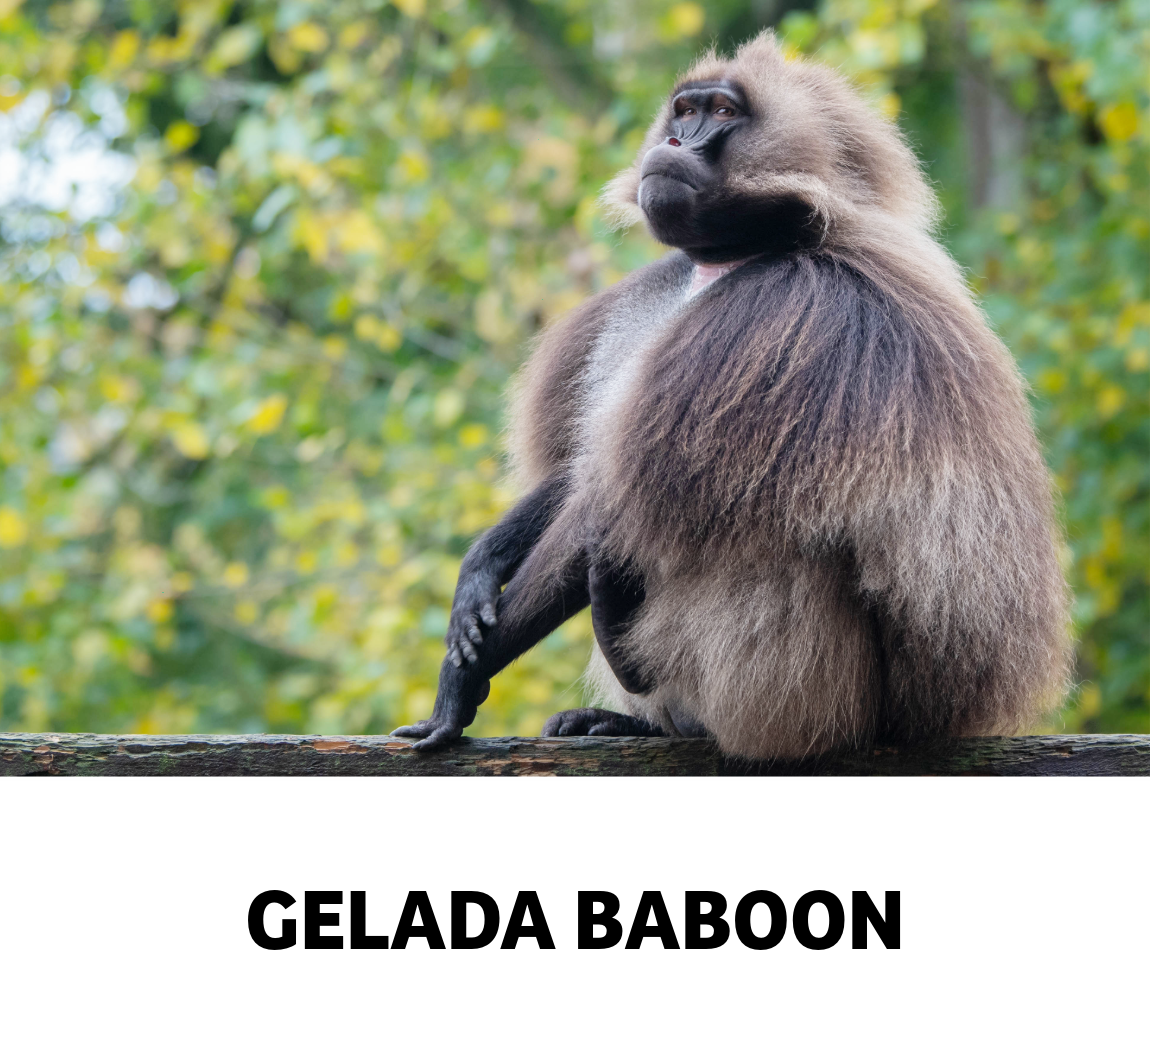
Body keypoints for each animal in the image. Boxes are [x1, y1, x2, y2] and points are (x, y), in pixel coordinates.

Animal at [393, 31, 1071, 759]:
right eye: (684, 109)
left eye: (721, 112)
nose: (676, 142)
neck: (738, 255)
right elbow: (589, 469)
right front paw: (478, 574)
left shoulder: (781, 322)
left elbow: (613, 499)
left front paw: (457, 689)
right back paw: (626, 713)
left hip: (821, 697)